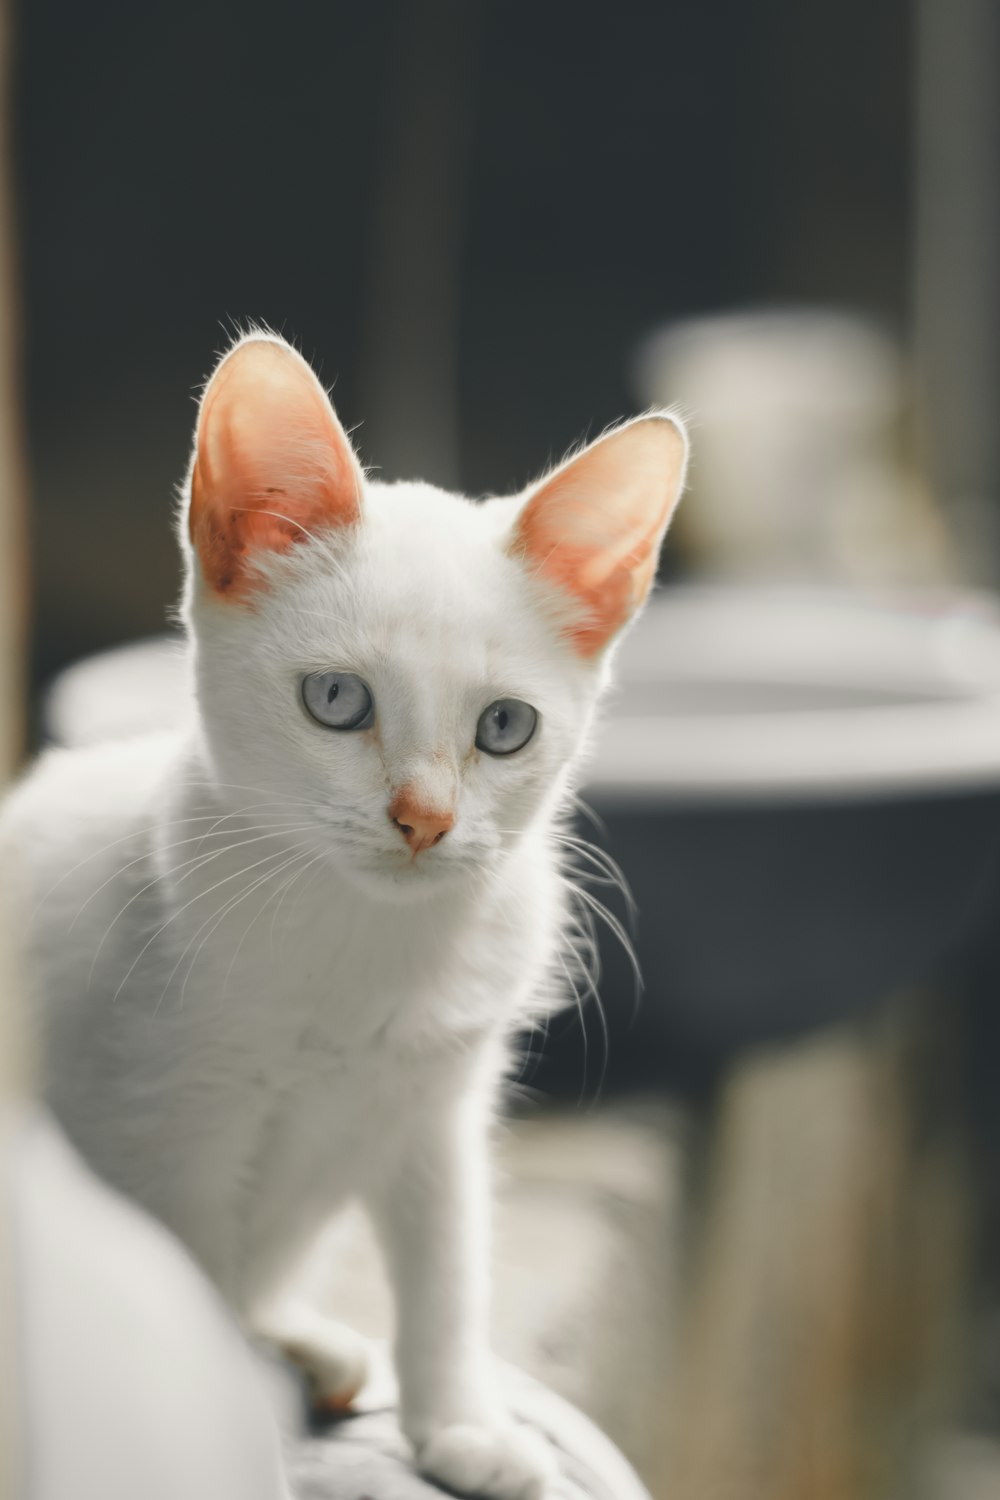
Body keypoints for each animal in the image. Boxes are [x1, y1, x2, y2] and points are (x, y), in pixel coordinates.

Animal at [1, 334, 689, 1494]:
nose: (423, 819)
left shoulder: (438, 1115)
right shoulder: (162, 1133)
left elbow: (447, 1277)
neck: (365, 948)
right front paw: (237, 1449)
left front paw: (461, 1424)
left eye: (505, 727)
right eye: (336, 701)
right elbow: (181, 1314)